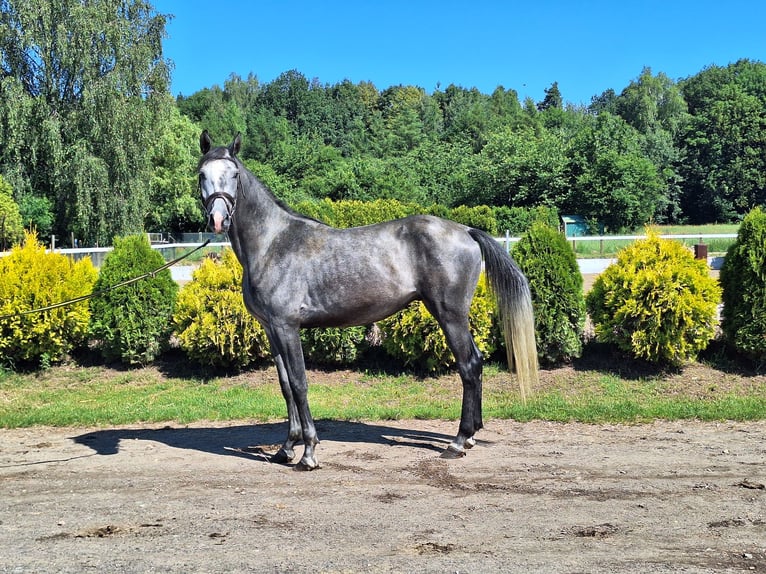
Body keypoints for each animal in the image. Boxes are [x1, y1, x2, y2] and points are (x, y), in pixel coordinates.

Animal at [196, 133, 540, 470]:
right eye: (202, 174)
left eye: (234, 174)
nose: (217, 220)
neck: (273, 243)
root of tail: (466, 230)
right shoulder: (271, 329)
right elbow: (285, 386)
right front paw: (286, 449)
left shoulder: (287, 327)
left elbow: (299, 383)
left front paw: (309, 453)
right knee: (476, 363)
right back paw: (470, 437)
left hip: (450, 315)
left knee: (469, 365)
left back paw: (457, 442)